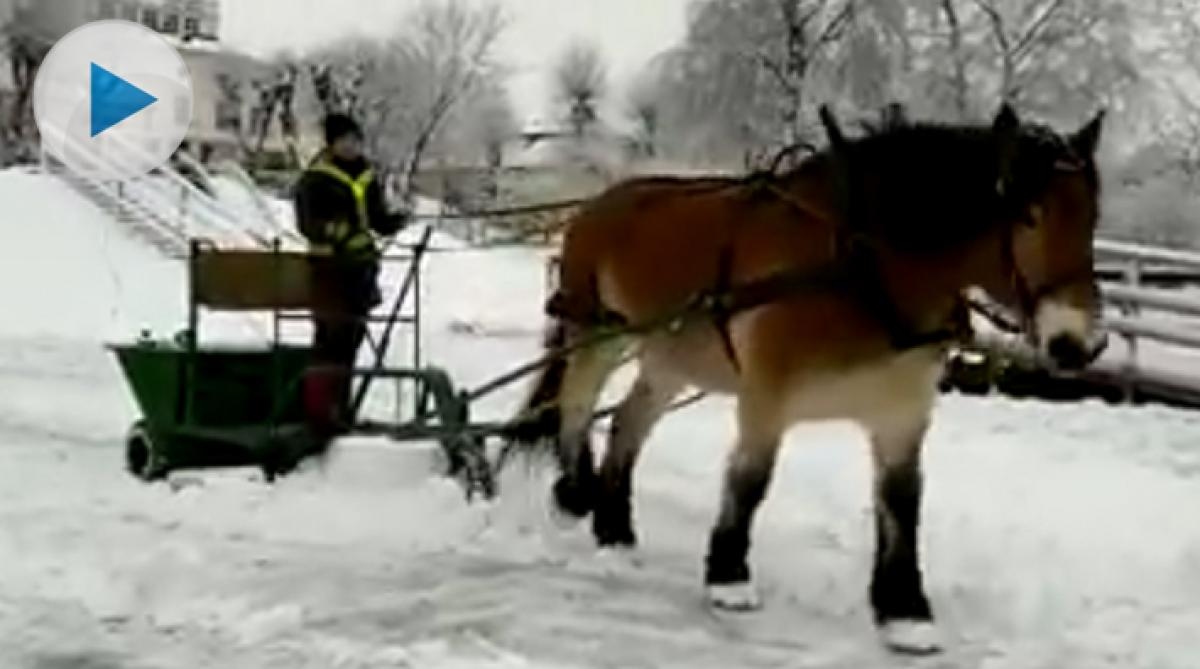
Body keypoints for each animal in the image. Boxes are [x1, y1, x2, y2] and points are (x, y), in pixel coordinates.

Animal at [504, 104, 1104, 657]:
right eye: (1028, 215)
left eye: (1093, 217)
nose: (1077, 344)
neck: (861, 268)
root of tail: (597, 205)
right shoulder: (767, 395)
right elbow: (750, 480)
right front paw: (729, 578)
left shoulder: (902, 412)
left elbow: (902, 502)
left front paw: (904, 611)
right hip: (598, 332)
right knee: (577, 402)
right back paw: (575, 492)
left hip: (671, 357)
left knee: (629, 421)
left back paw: (614, 528)